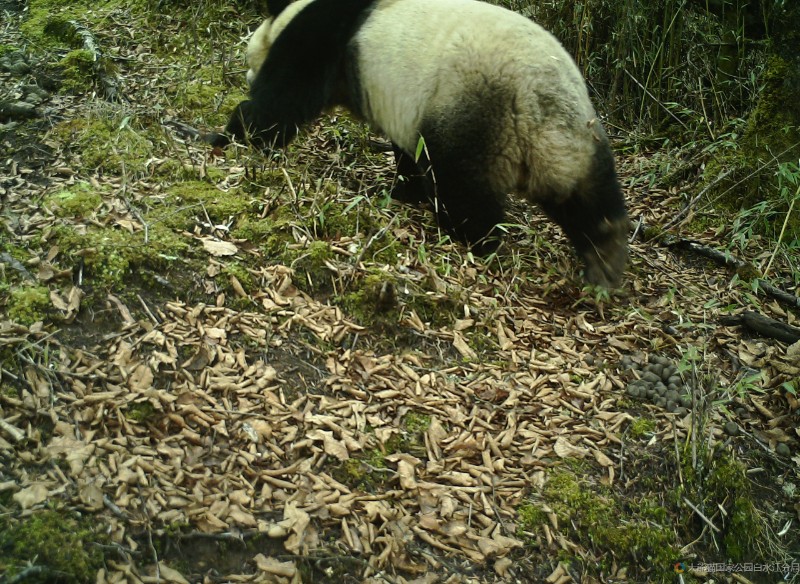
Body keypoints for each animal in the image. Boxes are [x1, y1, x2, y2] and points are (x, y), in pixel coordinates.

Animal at [212, 0, 632, 288]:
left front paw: (230, 134)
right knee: (588, 196)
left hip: (474, 108)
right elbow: (407, 151)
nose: (245, 76)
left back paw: (474, 238)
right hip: (576, 138)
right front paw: (404, 191)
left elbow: (284, 98)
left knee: (463, 186)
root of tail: (537, 97)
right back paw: (606, 255)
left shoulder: (324, 36)